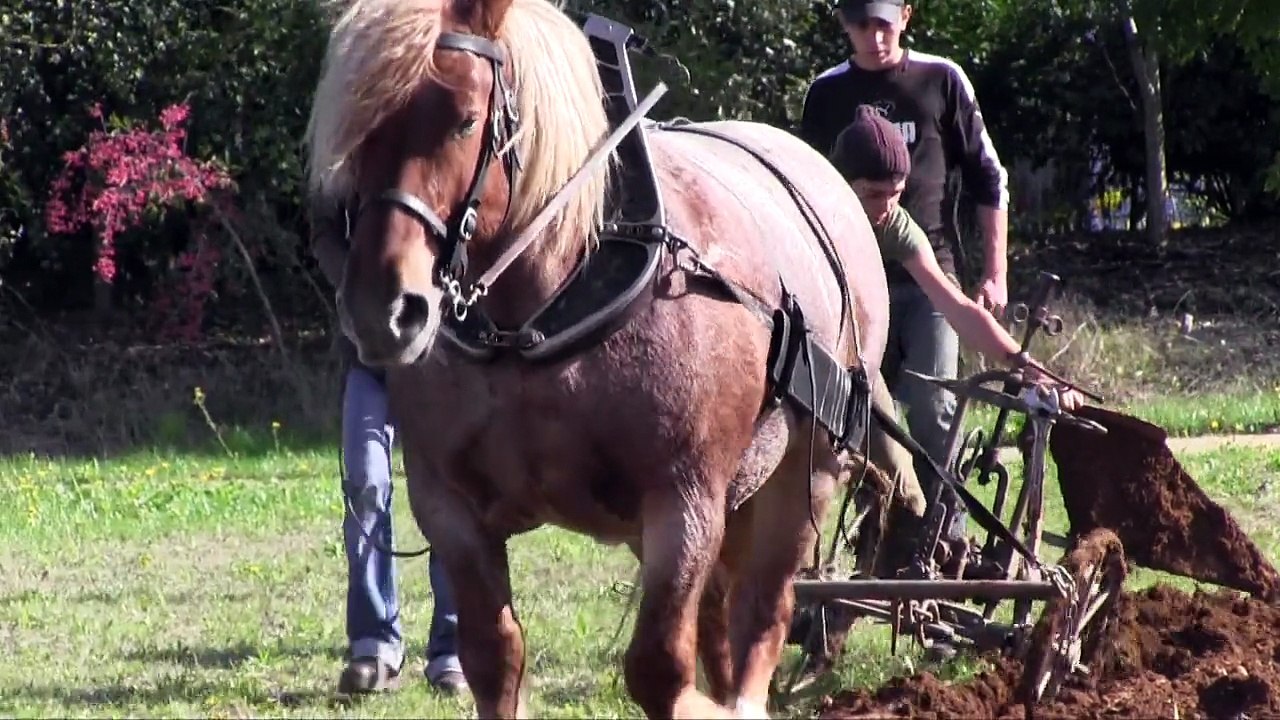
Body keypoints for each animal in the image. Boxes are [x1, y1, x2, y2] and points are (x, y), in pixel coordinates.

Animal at [304, 0, 891, 716]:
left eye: (465, 119)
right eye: (357, 130)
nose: (383, 309)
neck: (534, 324)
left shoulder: (683, 502)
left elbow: (660, 669)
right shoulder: (452, 511)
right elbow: (494, 660)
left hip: (807, 475)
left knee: (762, 614)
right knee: (720, 622)